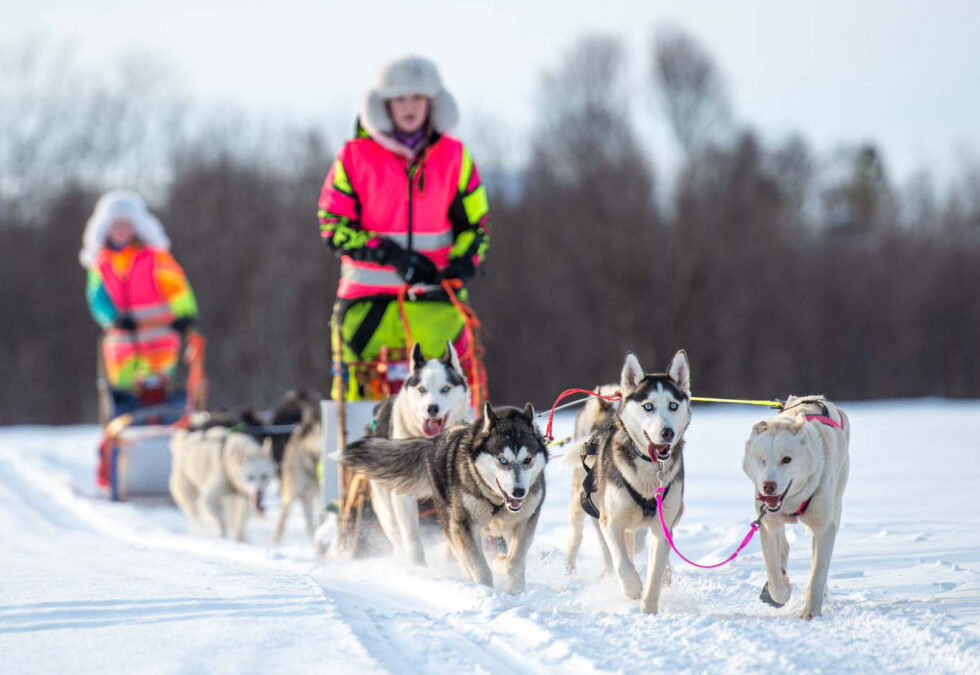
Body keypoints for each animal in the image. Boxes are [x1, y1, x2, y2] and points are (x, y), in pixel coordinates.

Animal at [340, 404, 548, 596]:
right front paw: (487, 589)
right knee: (462, 557)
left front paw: (514, 589)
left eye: (528, 460)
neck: (496, 500)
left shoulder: (525, 521)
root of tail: (434, 442)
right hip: (450, 523)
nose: (519, 492)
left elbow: (515, 561)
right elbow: (479, 566)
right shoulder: (464, 524)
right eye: (502, 460)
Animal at [366, 344, 468, 564]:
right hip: (385, 502)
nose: (432, 408)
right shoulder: (402, 495)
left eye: (445, 388)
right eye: (422, 389)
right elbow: (411, 535)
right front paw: (417, 564)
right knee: (395, 531)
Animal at [564, 352, 692, 616]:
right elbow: (621, 560)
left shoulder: (663, 525)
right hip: (581, 504)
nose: (667, 432)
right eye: (648, 406)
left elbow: (654, 572)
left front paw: (649, 609)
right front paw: (632, 587)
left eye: (673, 405)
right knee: (579, 538)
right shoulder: (611, 520)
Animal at [744, 396, 848, 624]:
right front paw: (781, 590)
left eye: (786, 459)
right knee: (784, 547)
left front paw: (812, 611)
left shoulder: (824, 528)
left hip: (836, 504)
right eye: (762, 459)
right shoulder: (769, 524)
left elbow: (817, 573)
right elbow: (774, 573)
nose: (768, 486)